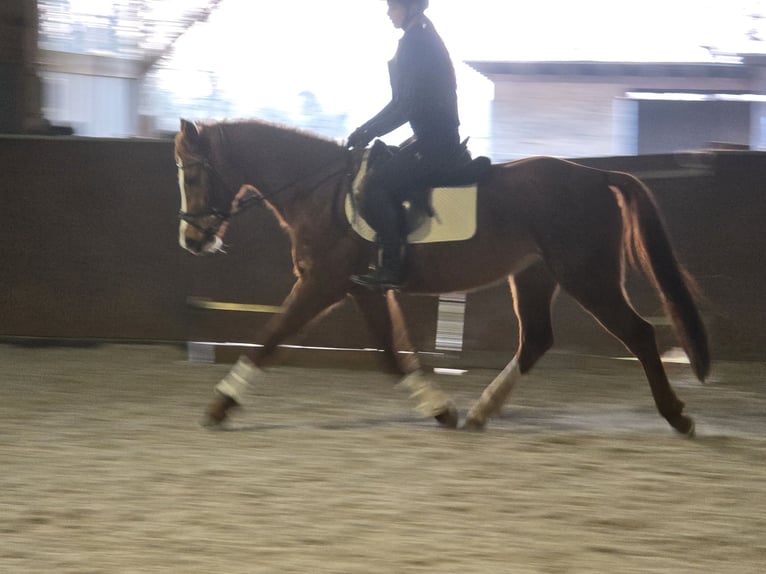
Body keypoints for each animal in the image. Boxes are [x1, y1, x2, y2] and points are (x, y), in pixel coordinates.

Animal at [176, 120, 712, 436]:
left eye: (193, 172)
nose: (192, 240)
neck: (319, 191)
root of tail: (596, 175)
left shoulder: (322, 284)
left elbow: (270, 338)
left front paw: (220, 405)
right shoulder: (360, 288)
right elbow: (391, 355)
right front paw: (439, 408)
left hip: (588, 276)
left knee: (638, 333)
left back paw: (677, 415)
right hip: (535, 276)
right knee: (536, 339)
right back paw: (481, 411)